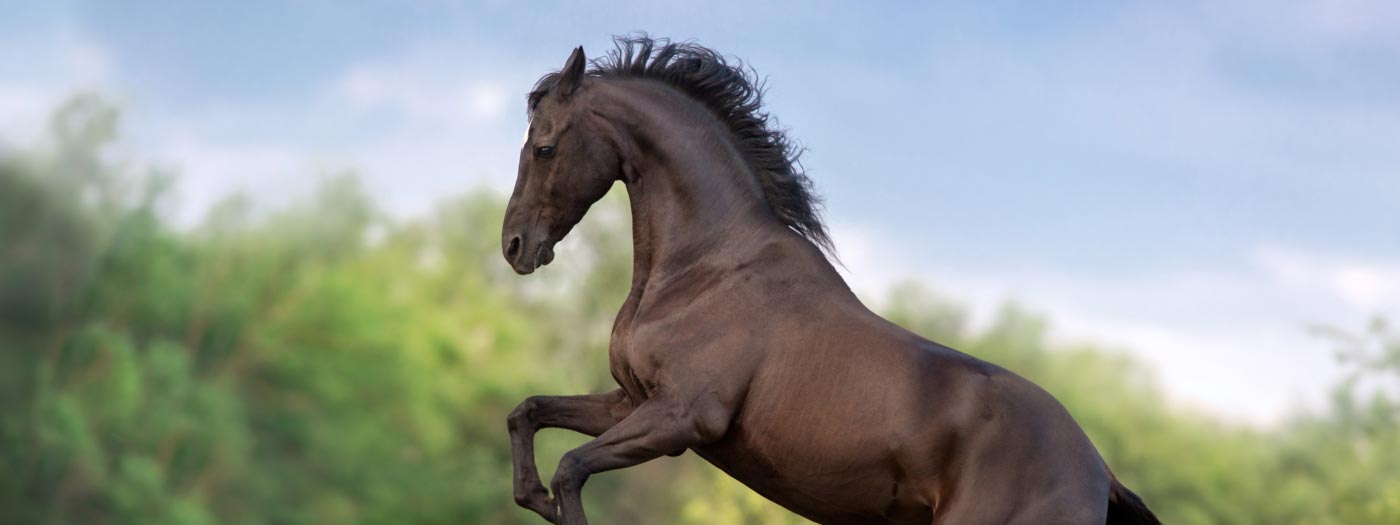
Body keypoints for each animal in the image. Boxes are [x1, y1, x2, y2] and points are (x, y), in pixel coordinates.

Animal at [501, 36, 1160, 525]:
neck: (709, 272)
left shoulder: (680, 417)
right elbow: (527, 413)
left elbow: (571, 468)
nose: (514, 247)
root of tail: (1099, 474)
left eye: (545, 147)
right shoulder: (632, 403)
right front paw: (534, 498)